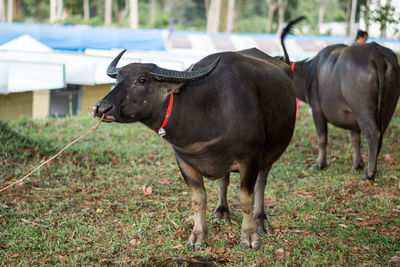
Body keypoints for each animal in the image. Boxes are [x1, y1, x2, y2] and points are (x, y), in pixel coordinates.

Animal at [92, 47, 296, 249]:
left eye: (141, 80)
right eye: (117, 80)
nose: (101, 108)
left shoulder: (250, 159)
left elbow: (246, 199)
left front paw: (249, 237)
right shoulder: (184, 162)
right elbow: (198, 200)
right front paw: (198, 236)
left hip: (271, 154)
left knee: (261, 183)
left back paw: (261, 221)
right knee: (224, 180)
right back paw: (221, 211)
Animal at [282, 17, 400, 183]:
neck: (309, 73)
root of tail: (376, 55)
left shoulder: (317, 110)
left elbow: (322, 138)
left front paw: (319, 164)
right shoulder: (352, 119)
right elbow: (354, 139)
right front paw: (357, 164)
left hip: (362, 109)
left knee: (373, 134)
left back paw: (369, 175)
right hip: (386, 108)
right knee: (380, 134)